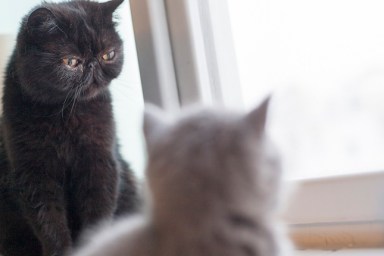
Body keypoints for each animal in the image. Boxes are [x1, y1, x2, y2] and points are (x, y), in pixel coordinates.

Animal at [0, 0, 138, 256]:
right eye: (71, 61)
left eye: (108, 54)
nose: (93, 65)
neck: (66, 115)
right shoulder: (33, 172)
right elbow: (49, 221)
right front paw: (60, 250)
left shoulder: (100, 162)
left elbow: (98, 212)